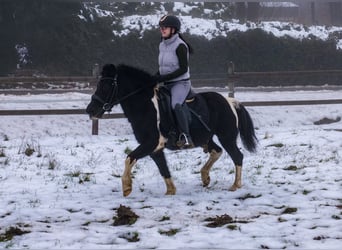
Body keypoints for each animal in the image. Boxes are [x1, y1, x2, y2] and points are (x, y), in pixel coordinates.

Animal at [85, 63, 256, 196]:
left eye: (106, 85)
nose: (90, 110)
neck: (146, 106)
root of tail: (230, 101)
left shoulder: (151, 143)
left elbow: (129, 158)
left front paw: (127, 187)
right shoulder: (155, 148)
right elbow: (163, 169)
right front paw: (170, 191)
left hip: (226, 137)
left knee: (237, 156)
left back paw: (235, 186)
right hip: (205, 138)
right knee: (217, 151)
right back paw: (205, 177)